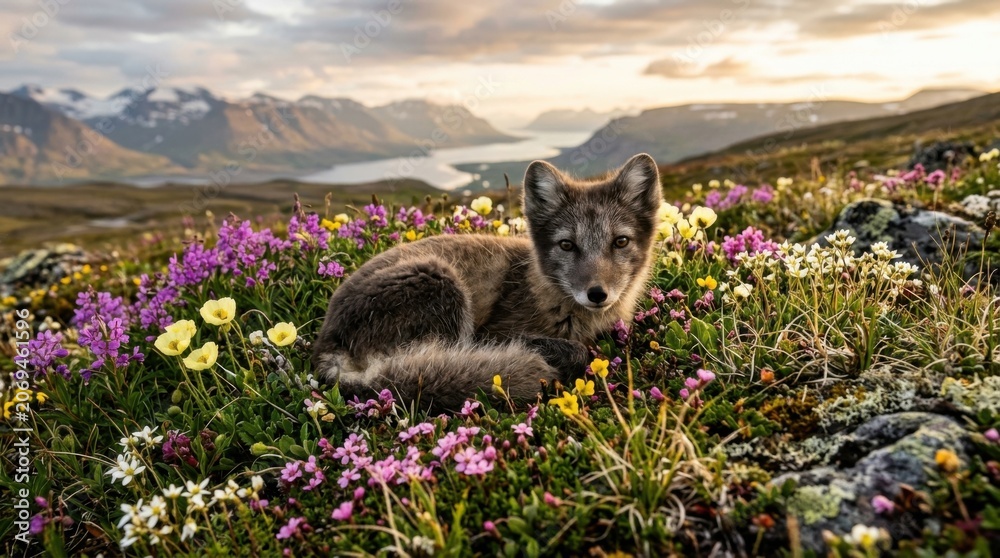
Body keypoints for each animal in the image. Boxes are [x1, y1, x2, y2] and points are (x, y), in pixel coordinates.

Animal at [312, 153, 663, 411]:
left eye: (620, 242)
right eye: (567, 245)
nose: (597, 294)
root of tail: (326, 347)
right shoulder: (496, 329)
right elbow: (575, 348)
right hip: (442, 283)